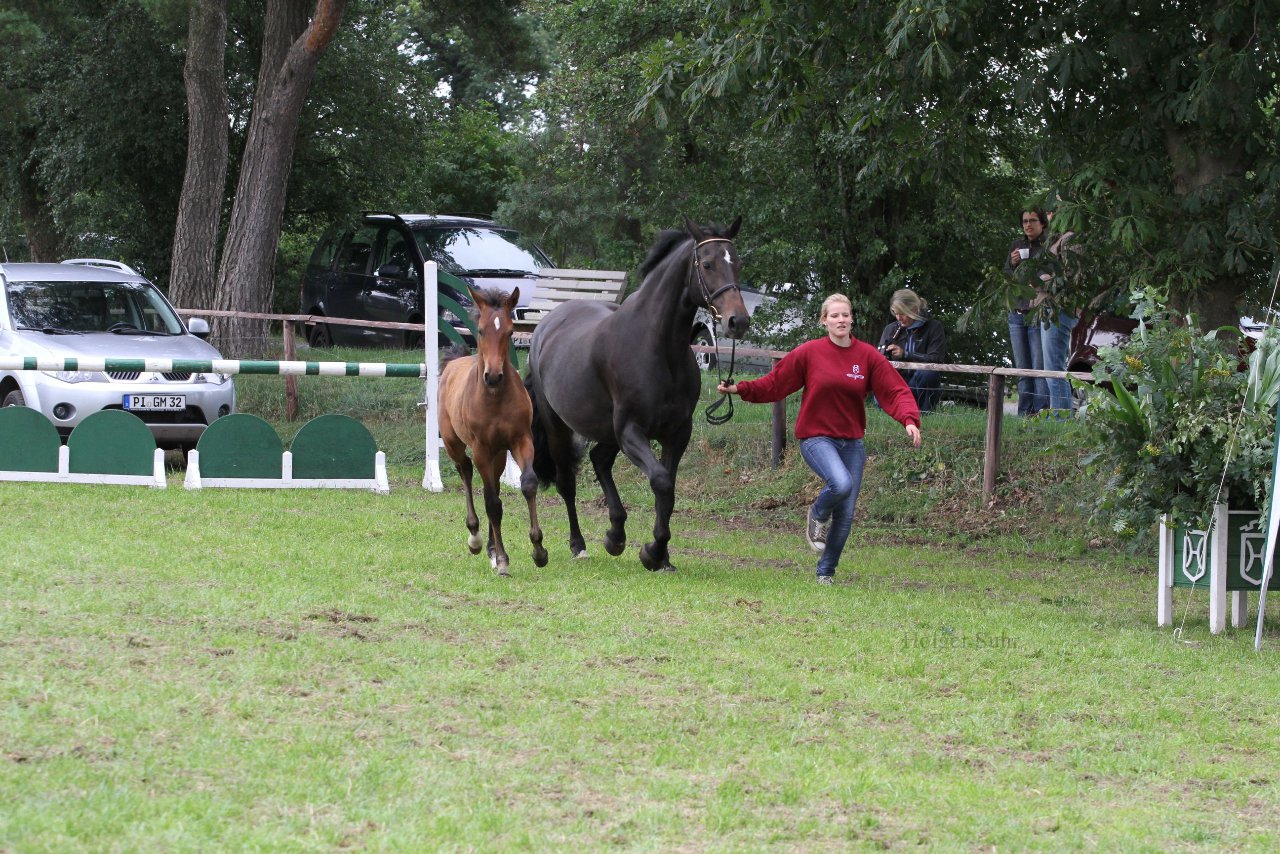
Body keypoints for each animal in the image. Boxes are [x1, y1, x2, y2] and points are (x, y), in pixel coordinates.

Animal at [440, 285, 545, 573]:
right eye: (481, 330)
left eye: (510, 331)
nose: (494, 376)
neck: (495, 398)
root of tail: (452, 364)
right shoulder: (481, 449)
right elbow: (492, 503)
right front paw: (503, 561)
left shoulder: (521, 440)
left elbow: (527, 485)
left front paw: (538, 550)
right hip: (455, 444)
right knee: (465, 471)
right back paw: (476, 539)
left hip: (498, 455)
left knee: (494, 485)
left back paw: (489, 547)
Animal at [522, 217, 747, 571]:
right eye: (707, 264)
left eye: (737, 263)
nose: (739, 321)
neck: (657, 347)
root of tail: (547, 325)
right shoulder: (631, 431)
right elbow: (661, 482)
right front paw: (652, 551)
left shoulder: (677, 433)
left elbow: (668, 491)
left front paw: (661, 556)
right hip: (560, 426)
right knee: (567, 482)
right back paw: (579, 544)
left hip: (606, 430)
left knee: (599, 460)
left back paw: (615, 535)